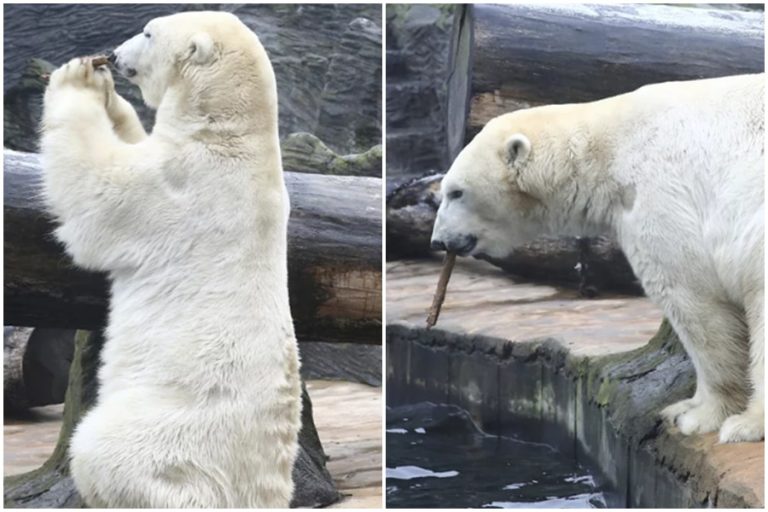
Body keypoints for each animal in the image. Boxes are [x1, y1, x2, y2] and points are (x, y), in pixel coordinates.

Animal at [40, 10, 302, 506]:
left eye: (147, 32)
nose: (114, 56)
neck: (226, 128)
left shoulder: (180, 182)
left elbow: (97, 194)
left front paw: (78, 79)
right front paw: (110, 97)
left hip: (173, 427)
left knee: (108, 450)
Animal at [432, 73, 760, 444]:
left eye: (456, 192)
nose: (438, 240)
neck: (611, 146)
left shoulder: (660, 195)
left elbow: (694, 300)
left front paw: (704, 416)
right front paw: (683, 407)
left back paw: (748, 424)